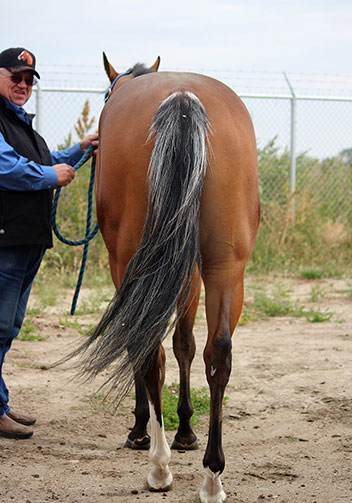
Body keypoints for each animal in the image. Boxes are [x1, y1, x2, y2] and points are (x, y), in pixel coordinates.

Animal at [77, 53, 258, 502]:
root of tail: (182, 97)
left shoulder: (128, 271)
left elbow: (149, 347)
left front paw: (143, 429)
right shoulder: (189, 272)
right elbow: (186, 345)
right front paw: (187, 430)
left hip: (134, 262)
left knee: (148, 352)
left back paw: (159, 466)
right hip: (226, 267)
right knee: (219, 354)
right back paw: (212, 476)